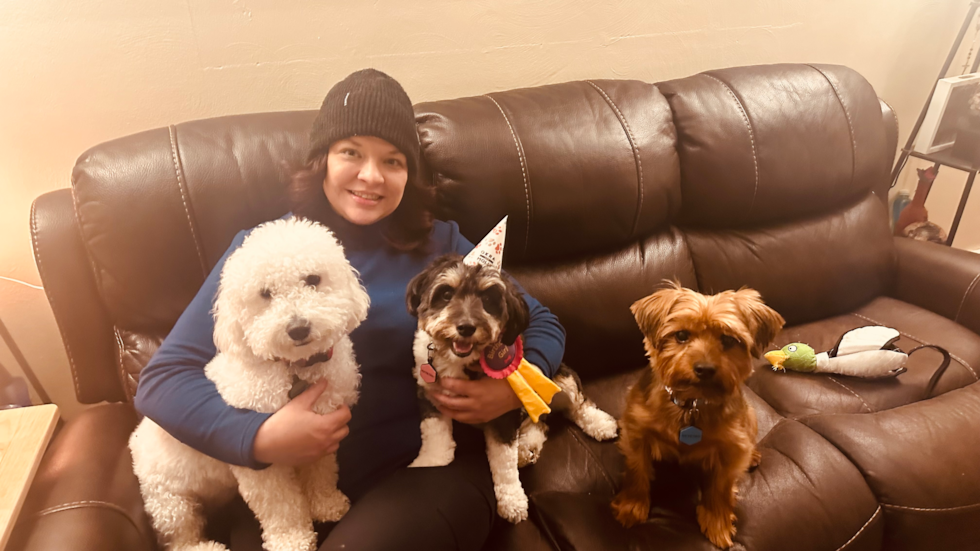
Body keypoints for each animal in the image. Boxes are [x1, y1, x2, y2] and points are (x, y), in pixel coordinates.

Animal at [130, 219, 372, 551]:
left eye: (313, 279)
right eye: (265, 294)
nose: (298, 328)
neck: (294, 367)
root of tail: (134, 443)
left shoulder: (322, 434)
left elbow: (321, 475)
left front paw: (326, 505)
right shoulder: (266, 463)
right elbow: (280, 505)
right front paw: (291, 540)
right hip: (170, 503)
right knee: (179, 539)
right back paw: (206, 547)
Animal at [404, 254, 616, 520]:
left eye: (488, 299)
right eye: (446, 293)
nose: (466, 327)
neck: (458, 361)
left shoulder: (500, 410)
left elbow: (503, 461)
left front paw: (512, 500)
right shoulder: (430, 397)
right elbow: (435, 437)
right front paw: (431, 463)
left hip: (559, 380)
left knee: (577, 406)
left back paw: (600, 424)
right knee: (540, 424)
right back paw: (526, 449)